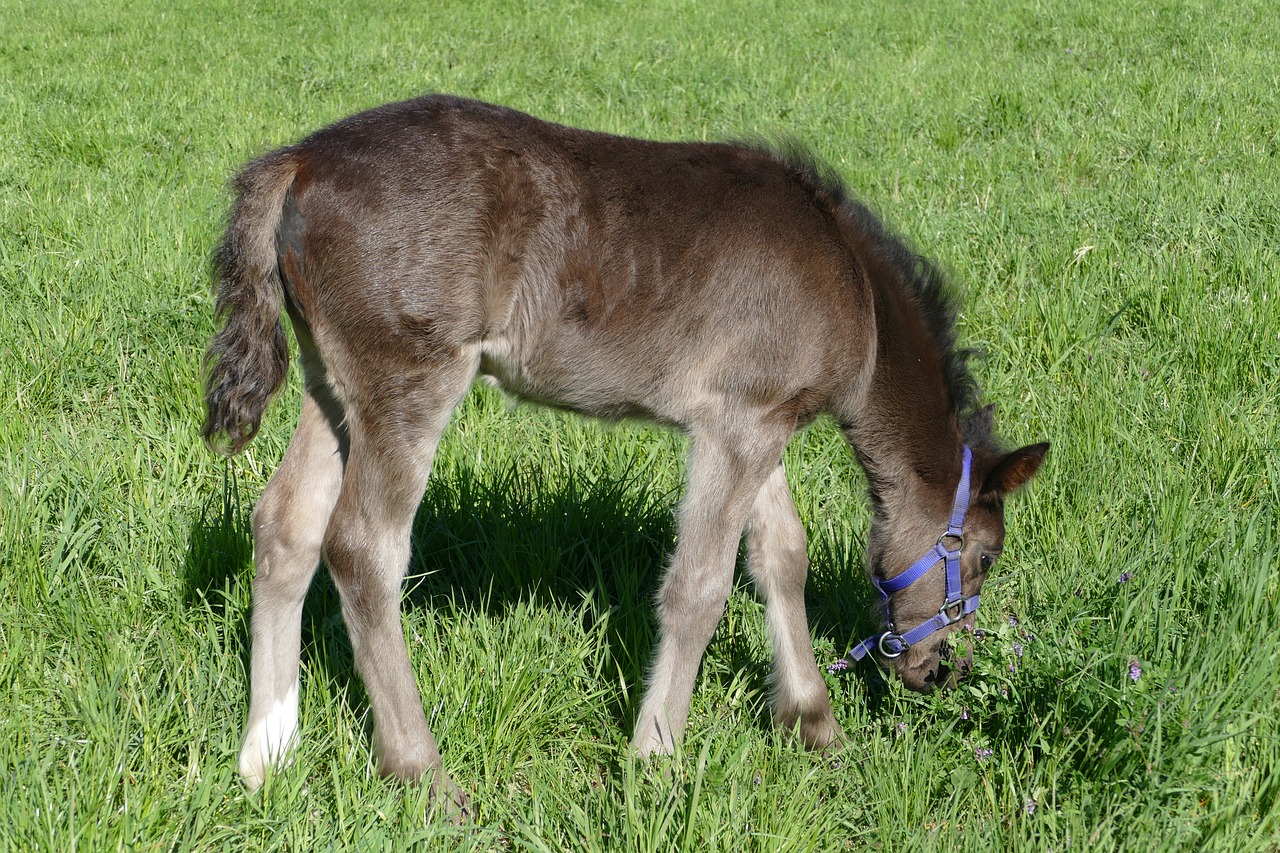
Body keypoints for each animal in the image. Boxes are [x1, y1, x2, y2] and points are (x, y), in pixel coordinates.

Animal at [199, 92, 1039, 799]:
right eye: (984, 557)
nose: (944, 668)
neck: (850, 280)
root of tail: (301, 158)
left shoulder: (752, 421)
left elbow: (781, 557)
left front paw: (812, 719)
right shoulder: (740, 426)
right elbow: (698, 587)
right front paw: (656, 756)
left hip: (333, 383)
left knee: (285, 525)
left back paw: (266, 753)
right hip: (410, 380)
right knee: (363, 547)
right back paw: (421, 770)